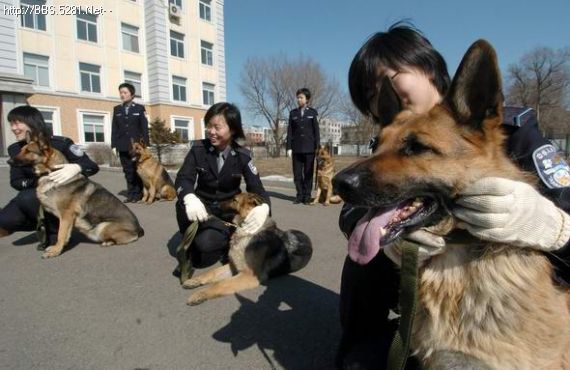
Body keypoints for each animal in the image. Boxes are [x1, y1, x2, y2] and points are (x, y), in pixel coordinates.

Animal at [8, 132, 144, 258]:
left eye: (28, 151)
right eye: (21, 150)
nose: (8, 161)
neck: (53, 171)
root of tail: (138, 228)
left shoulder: (66, 215)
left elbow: (61, 234)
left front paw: (55, 251)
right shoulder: (66, 218)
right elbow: (64, 234)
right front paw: (60, 247)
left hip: (102, 227)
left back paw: (108, 242)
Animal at [182, 192, 312, 304]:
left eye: (234, 200)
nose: (214, 204)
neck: (246, 230)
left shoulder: (249, 276)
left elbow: (221, 284)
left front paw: (199, 294)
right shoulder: (233, 266)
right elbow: (212, 272)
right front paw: (194, 280)